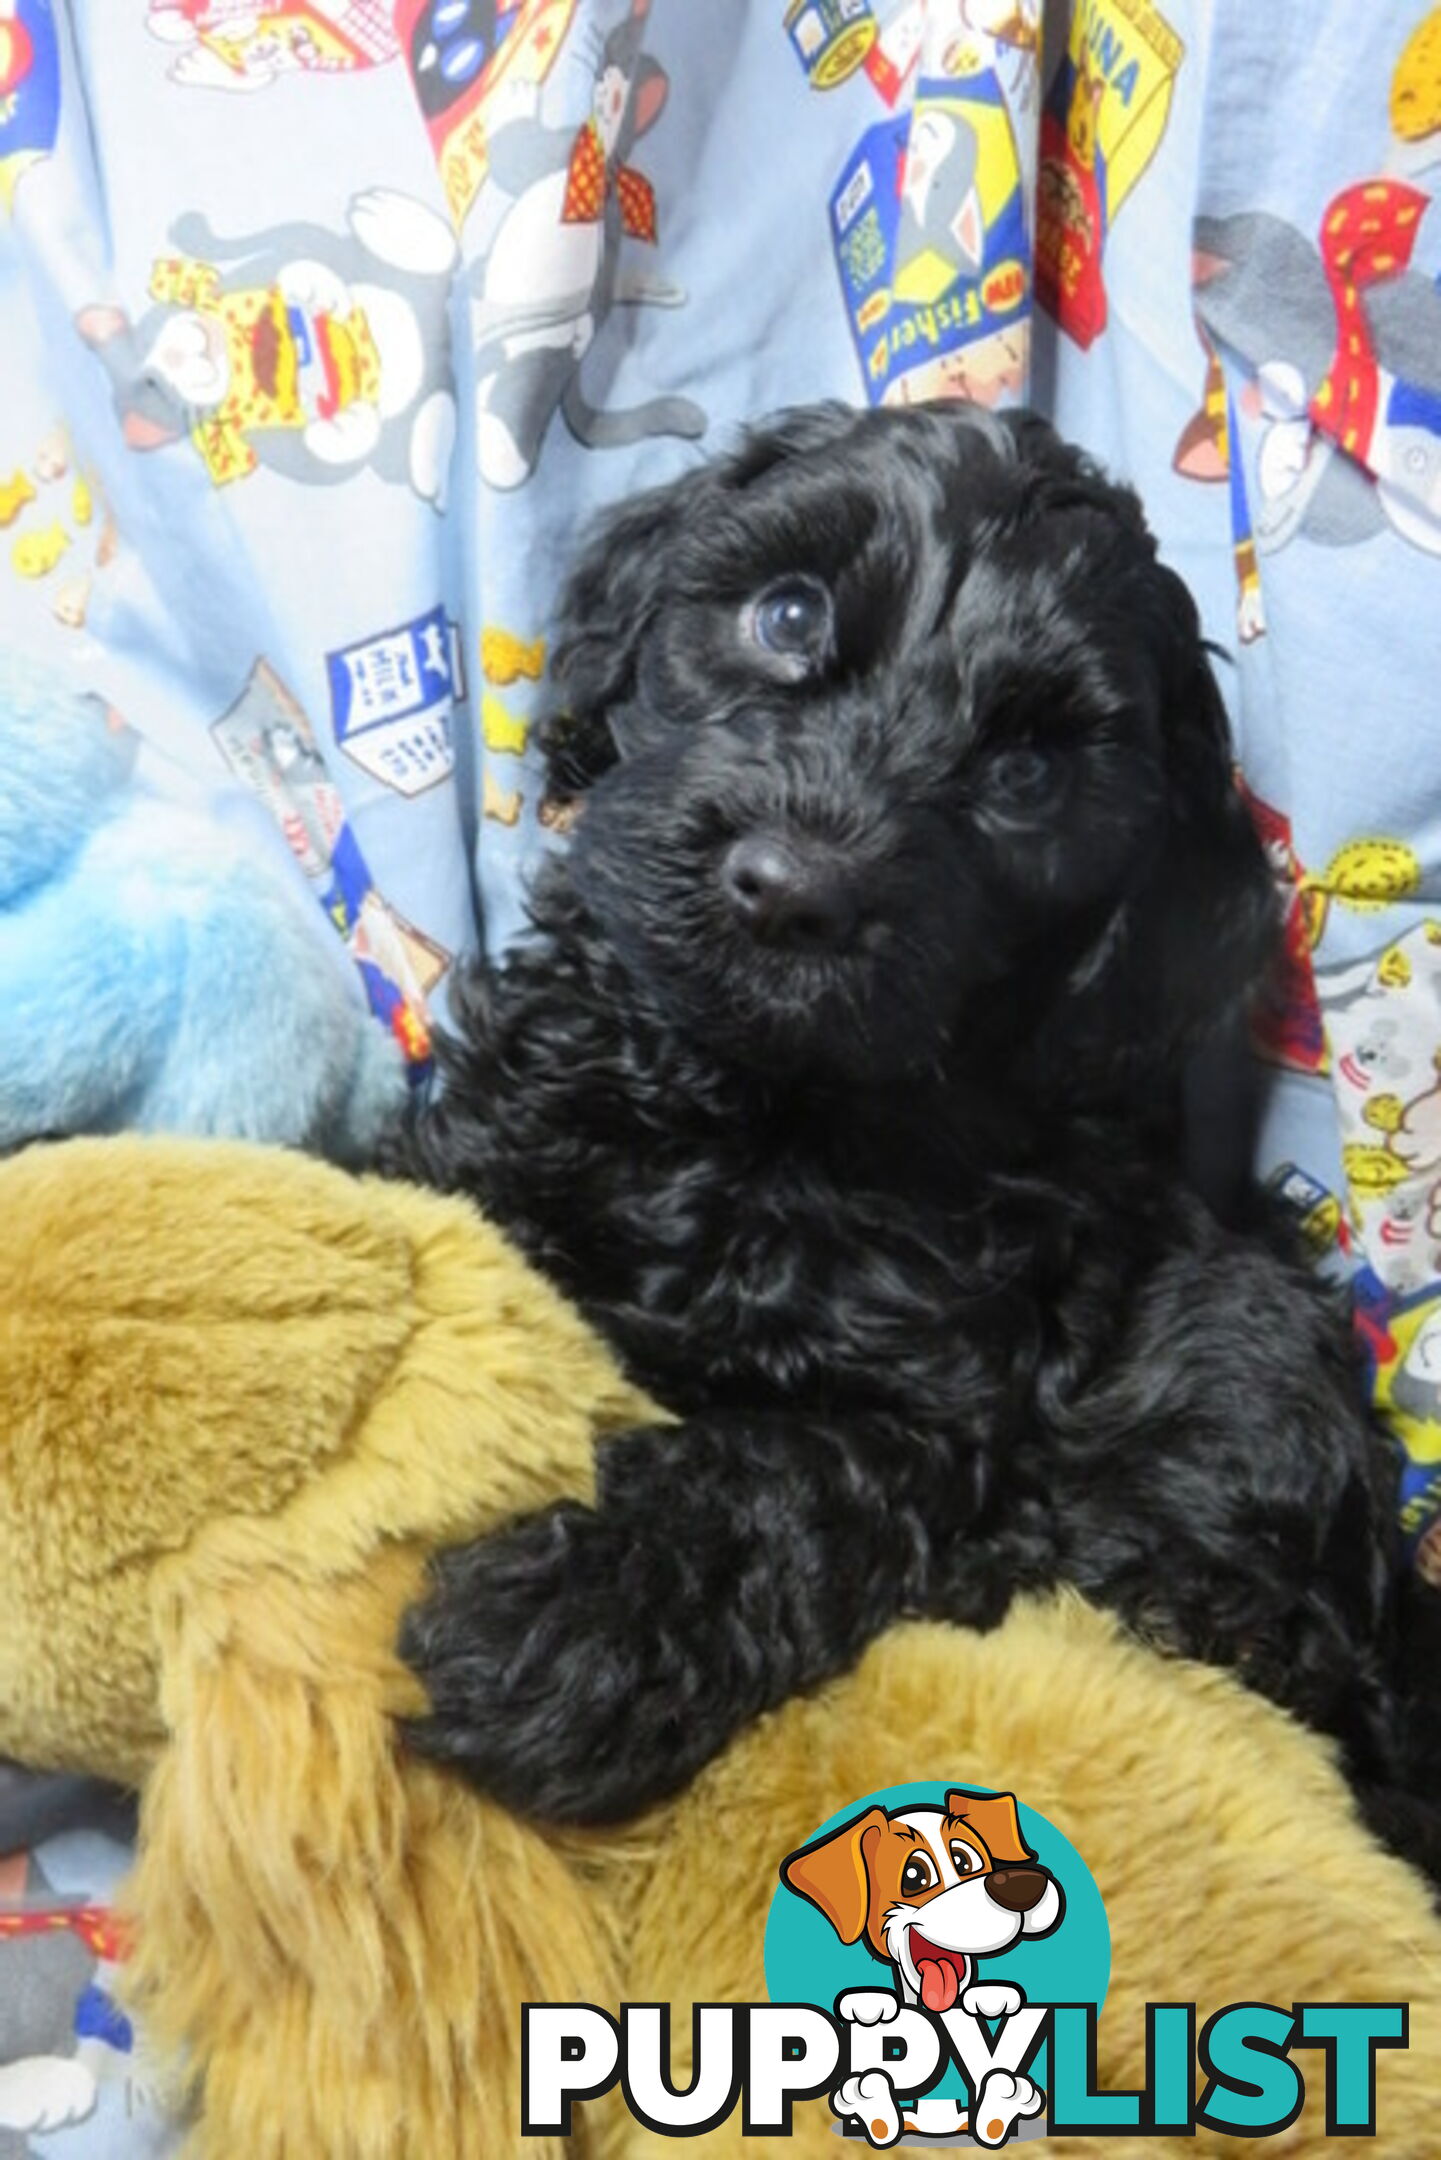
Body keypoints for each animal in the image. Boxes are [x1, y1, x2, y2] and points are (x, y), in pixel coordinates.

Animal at [395, 401, 1441, 1874]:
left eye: (1026, 774)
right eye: (786, 614)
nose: (792, 891)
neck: (760, 1110)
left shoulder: (951, 1418)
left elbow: (775, 1476)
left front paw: (565, 1625)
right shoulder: (504, 1146)